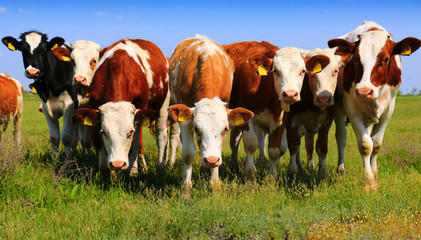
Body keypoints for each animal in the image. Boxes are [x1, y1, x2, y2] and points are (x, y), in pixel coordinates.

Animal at [73, 38, 169, 179]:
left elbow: (135, 144)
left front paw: (132, 171)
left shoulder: (139, 111)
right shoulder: (94, 110)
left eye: (130, 132)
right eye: (104, 132)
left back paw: (160, 167)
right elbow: (99, 145)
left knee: (161, 135)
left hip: (163, 106)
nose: (117, 164)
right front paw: (107, 175)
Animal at [167, 34, 253, 199]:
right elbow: (188, 154)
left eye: (225, 129)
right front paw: (185, 190)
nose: (211, 160)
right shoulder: (186, 122)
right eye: (197, 129)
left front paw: (214, 186)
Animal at [221, 41, 330, 179]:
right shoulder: (247, 114)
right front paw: (250, 172)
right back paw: (235, 164)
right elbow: (251, 144)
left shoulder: (281, 118)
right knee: (235, 141)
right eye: (276, 70)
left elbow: (274, 149)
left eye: (303, 71)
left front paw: (272, 176)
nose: (290, 94)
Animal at [286, 47, 344, 179]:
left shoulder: (326, 122)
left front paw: (322, 173)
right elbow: (294, 145)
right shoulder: (292, 121)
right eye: (309, 72)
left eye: (336, 71)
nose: (324, 98)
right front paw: (293, 172)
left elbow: (321, 147)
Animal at [328, 21, 420, 193]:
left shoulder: (388, 110)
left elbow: (375, 144)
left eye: (385, 59)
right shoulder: (352, 110)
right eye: (356, 59)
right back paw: (341, 172)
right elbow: (365, 145)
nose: (364, 91)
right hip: (338, 109)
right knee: (341, 138)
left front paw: (375, 177)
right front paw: (369, 183)